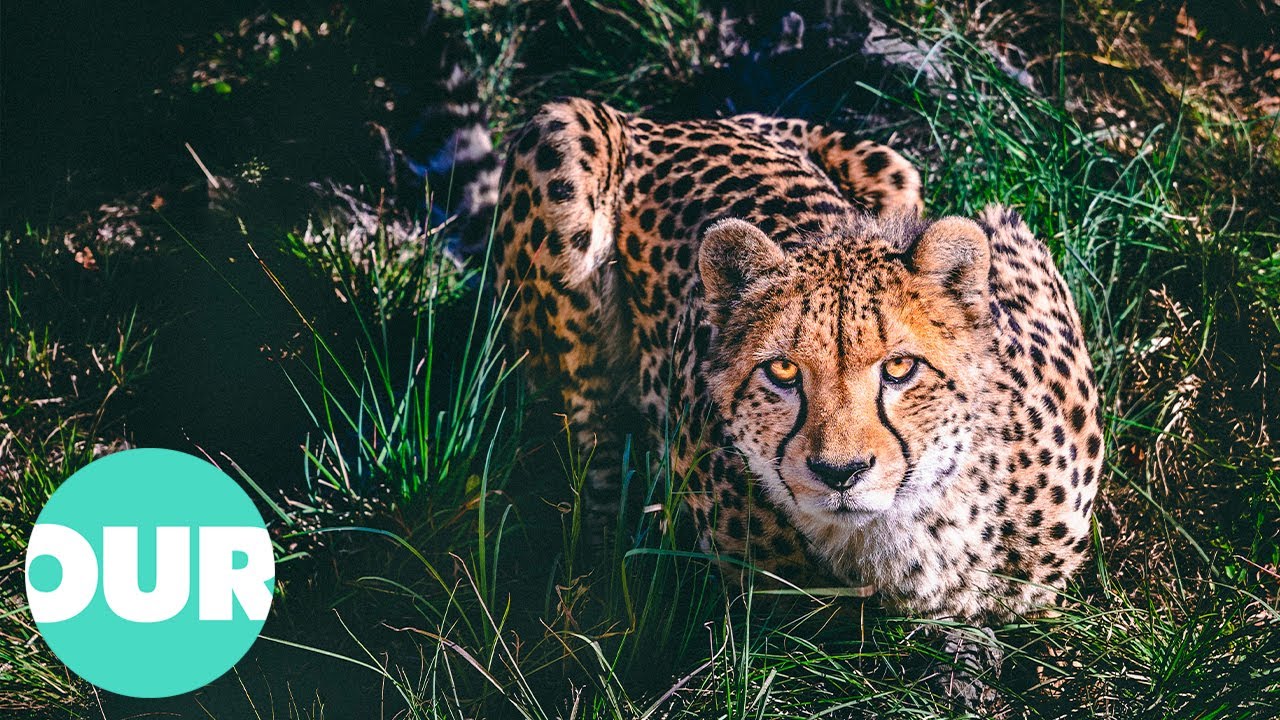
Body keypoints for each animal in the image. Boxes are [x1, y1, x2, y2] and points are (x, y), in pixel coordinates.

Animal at [491, 97, 1103, 642]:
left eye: (900, 367)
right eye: (783, 371)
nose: (841, 472)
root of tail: (668, 121)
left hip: (895, 167)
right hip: (561, 135)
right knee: (586, 433)